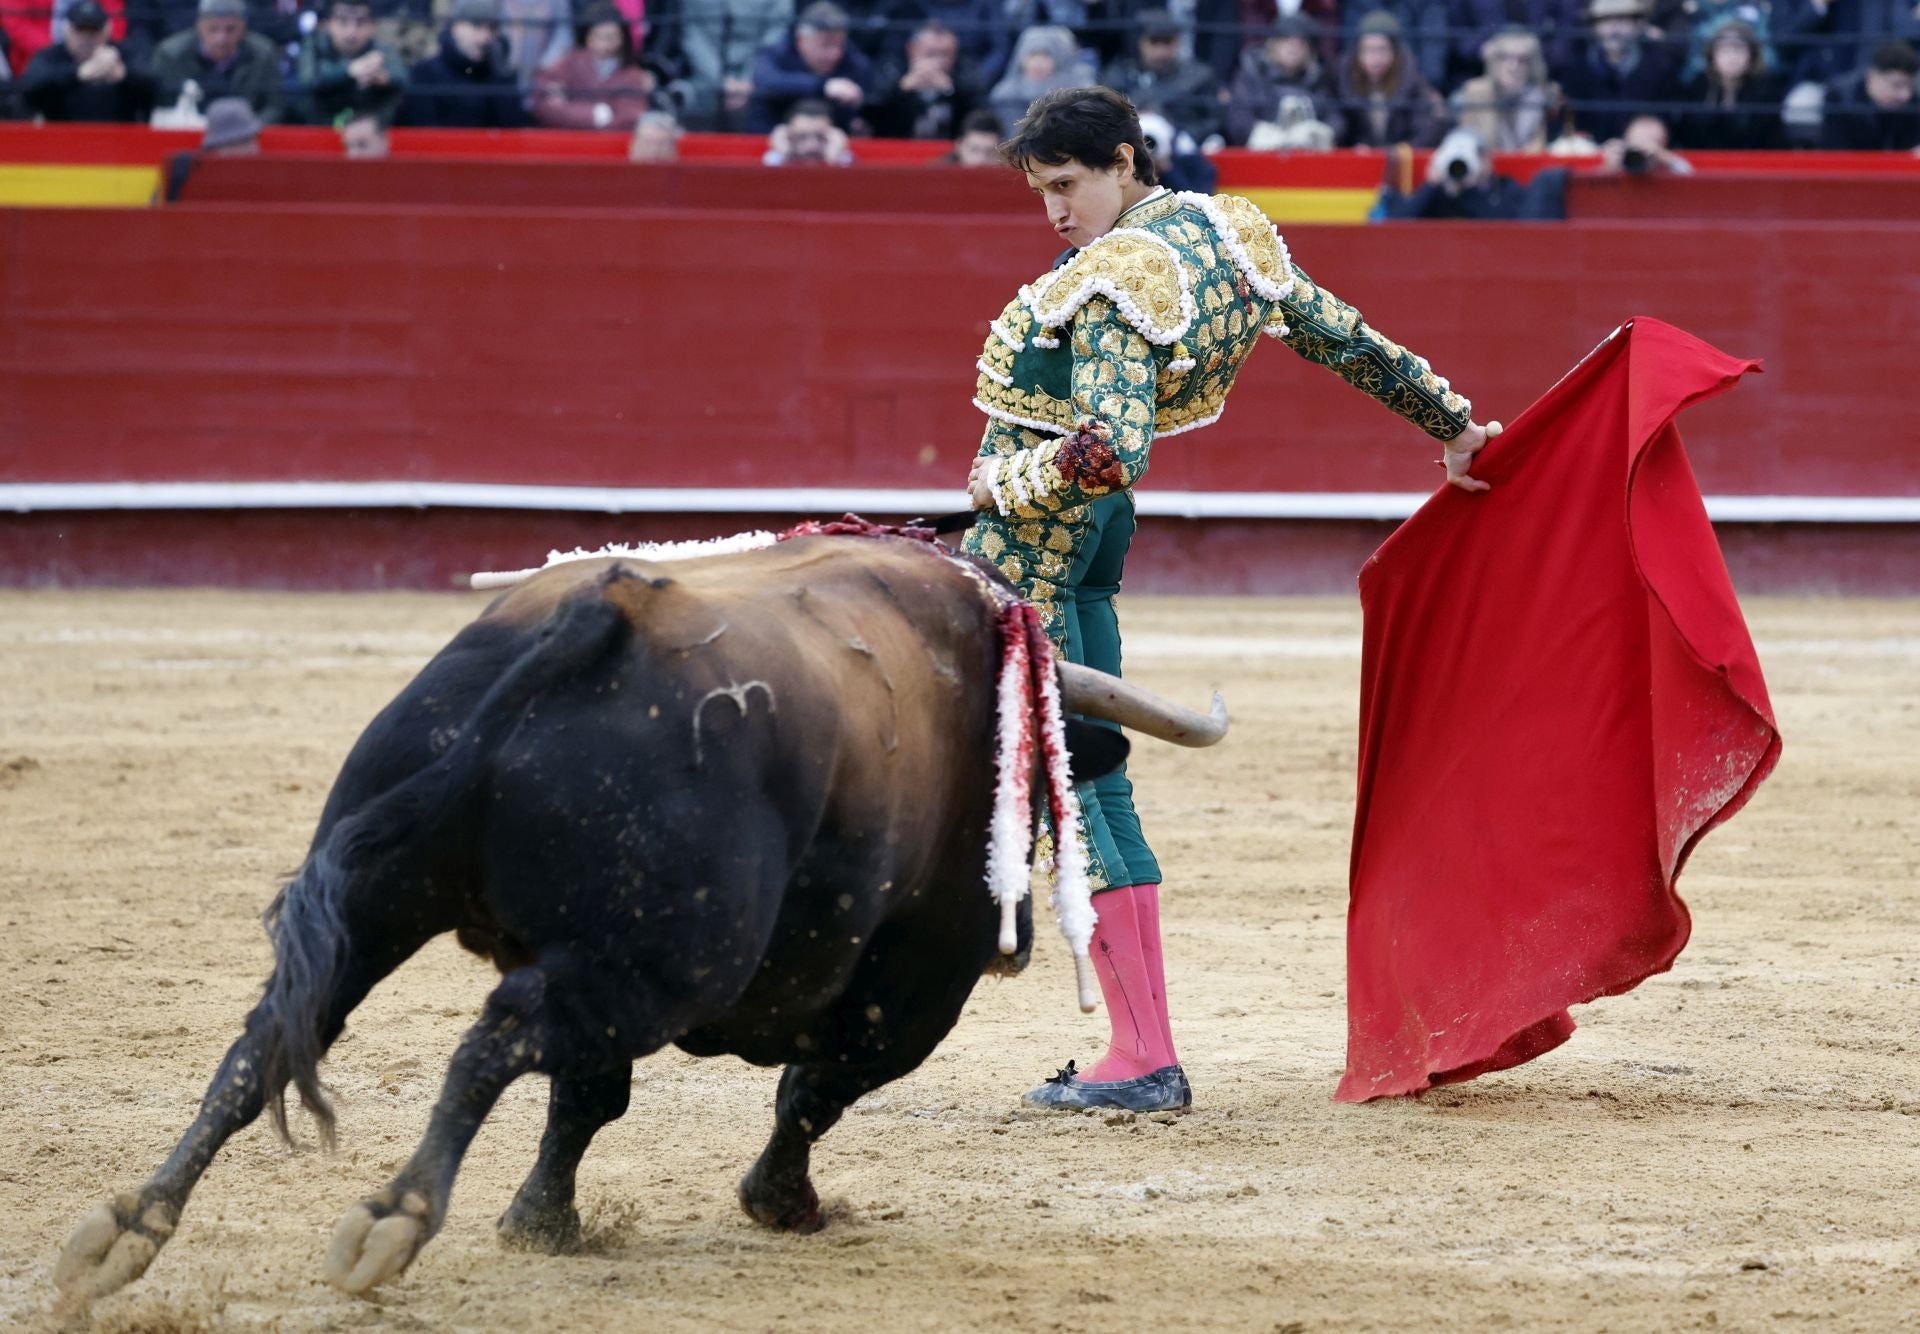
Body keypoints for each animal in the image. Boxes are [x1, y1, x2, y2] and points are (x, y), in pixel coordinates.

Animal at [60, 533, 1228, 1305]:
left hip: (382, 902)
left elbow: (587, 1100)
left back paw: (124, 1229)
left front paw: (542, 1221)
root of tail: (594, 618)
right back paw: (391, 1221)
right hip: (665, 966)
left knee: (270, 1038)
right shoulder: (910, 989)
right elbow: (812, 1091)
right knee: (494, 1038)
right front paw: (778, 1199)